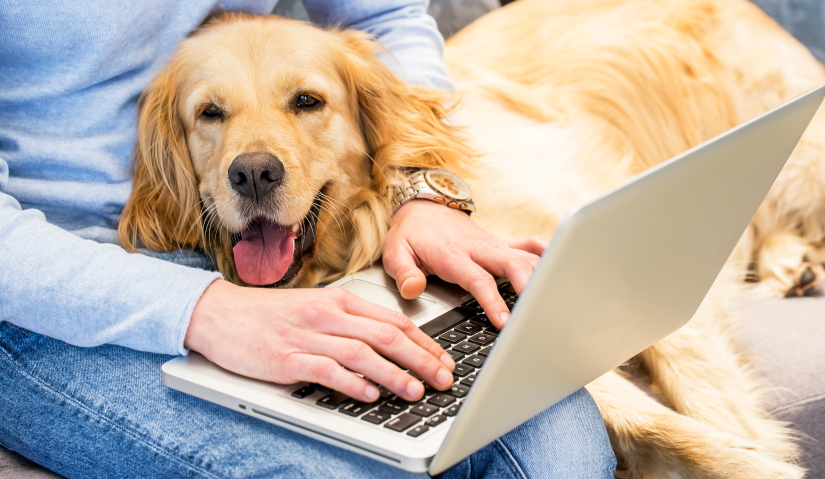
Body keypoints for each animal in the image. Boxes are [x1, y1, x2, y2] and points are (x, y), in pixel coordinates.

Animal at [117, 1, 825, 478]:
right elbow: (636, 407)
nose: (253, 174)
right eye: (210, 114)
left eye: (307, 102)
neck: (366, 227)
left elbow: (701, 389)